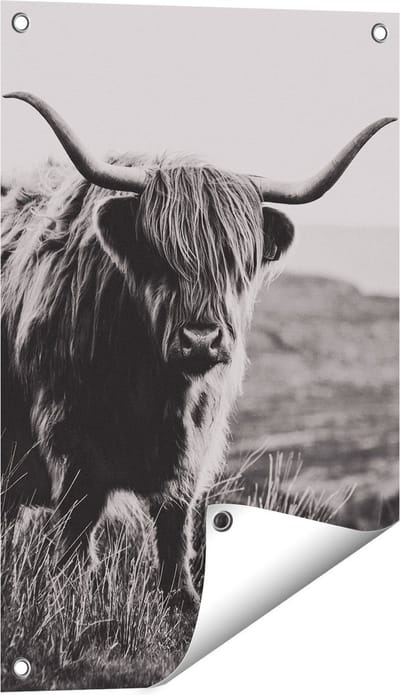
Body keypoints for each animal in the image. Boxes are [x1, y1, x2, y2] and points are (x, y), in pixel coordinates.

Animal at [1, 92, 396, 606]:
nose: (201, 339)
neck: (153, 387)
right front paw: (75, 589)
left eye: (236, 261)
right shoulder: (69, 437)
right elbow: (77, 527)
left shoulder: (193, 449)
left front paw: (182, 597)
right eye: (158, 255)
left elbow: (175, 526)